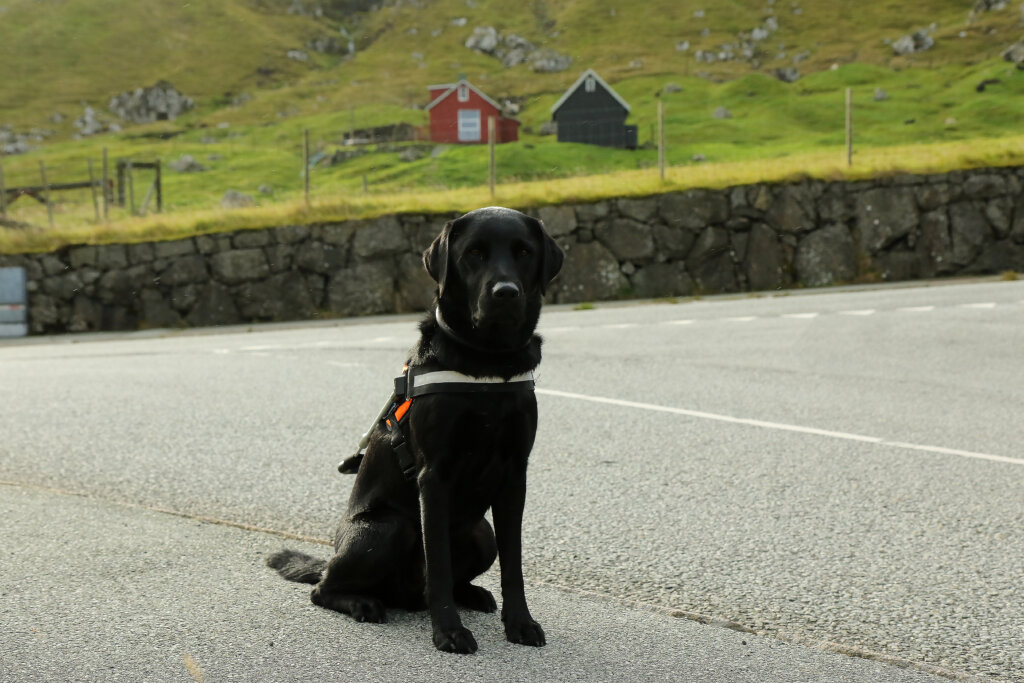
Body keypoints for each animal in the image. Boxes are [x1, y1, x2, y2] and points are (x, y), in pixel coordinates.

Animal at [268, 208, 565, 655]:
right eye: (474, 253)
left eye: (524, 252)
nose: (505, 293)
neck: (488, 360)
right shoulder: (434, 476)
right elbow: (437, 563)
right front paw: (449, 631)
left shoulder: (515, 475)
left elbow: (513, 564)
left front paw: (520, 623)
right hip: (387, 528)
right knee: (324, 588)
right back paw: (363, 602)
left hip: (481, 533)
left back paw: (473, 594)